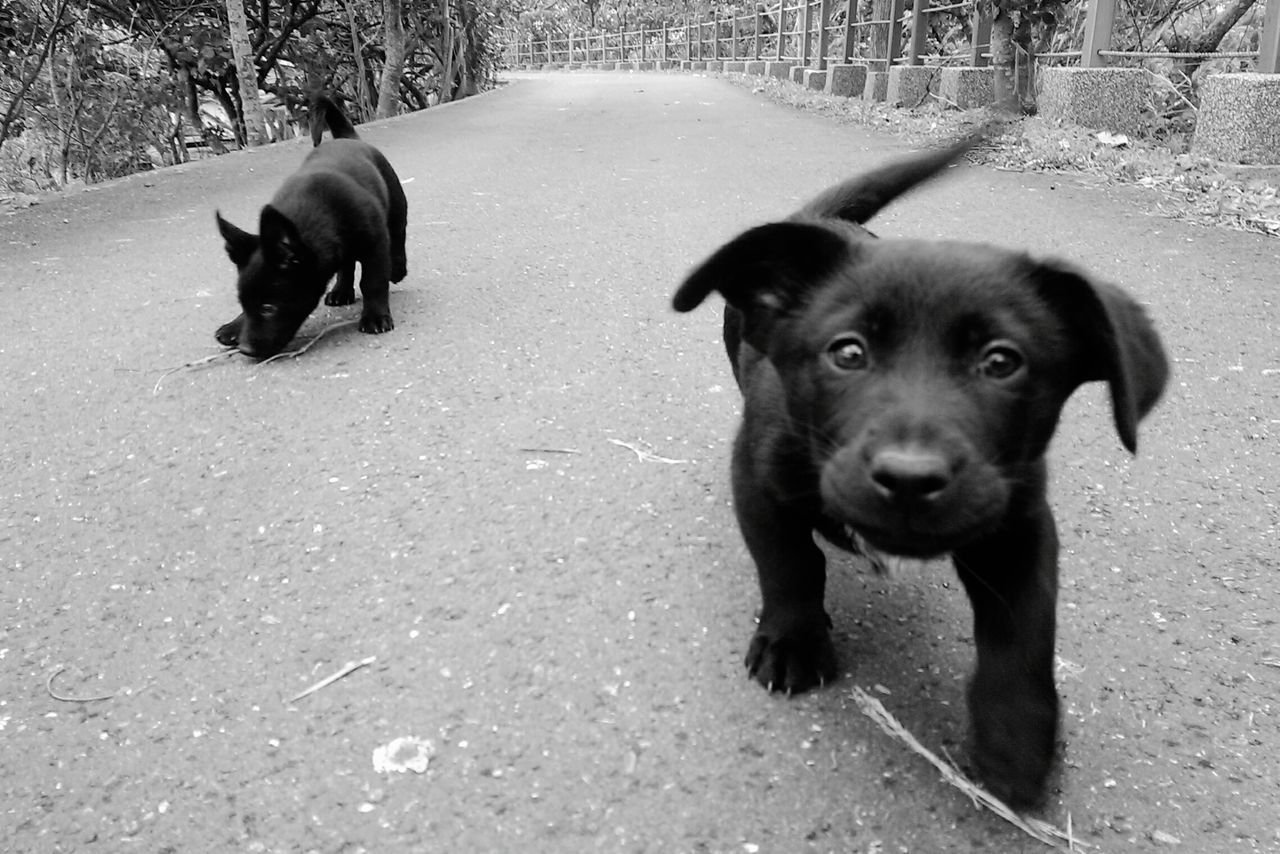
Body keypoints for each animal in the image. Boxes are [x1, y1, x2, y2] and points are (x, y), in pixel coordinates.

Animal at [212, 94, 407, 361]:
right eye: (243, 304)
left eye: (269, 308)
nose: (246, 349)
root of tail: (348, 138)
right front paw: (234, 325)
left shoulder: (375, 244)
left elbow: (373, 281)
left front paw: (375, 316)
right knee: (346, 264)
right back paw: (341, 291)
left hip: (396, 206)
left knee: (398, 236)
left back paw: (397, 268)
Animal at [670, 131, 1172, 809]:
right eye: (847, 352)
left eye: (1001, 362)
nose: (909, 478)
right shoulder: (757, 480)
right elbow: (789, 565)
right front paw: (793, 642)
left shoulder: (1016, 525)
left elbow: (1024, 631)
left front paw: (1016, 738)